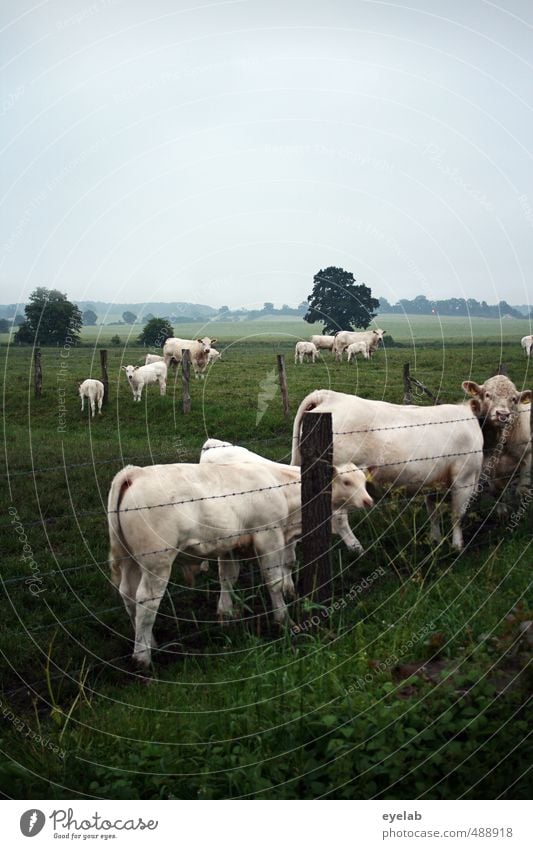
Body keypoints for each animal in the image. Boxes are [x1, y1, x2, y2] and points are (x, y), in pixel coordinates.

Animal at [197, 438, 372, 616]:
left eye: (364, 481)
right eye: (347, 482)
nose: (368, 501)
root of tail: (213, 443)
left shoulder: (290, 534)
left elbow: (289, 562)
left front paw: (289, 589)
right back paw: (204, 564)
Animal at [288, 388, 484, 548]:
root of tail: (329, 395)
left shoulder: (432, 482)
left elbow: (433, 513)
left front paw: (435, 539)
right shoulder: (464, 480)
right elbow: (457, 515)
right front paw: (457, 546)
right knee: (339, 518)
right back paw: (357, 548)